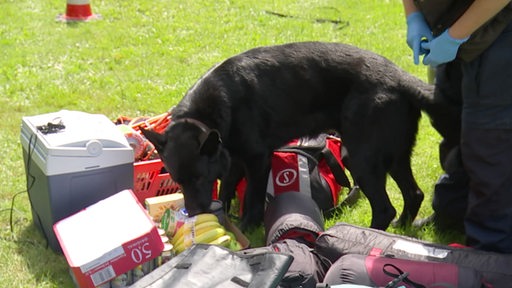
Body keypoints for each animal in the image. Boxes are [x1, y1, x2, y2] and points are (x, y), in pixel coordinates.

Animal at [141, 41, 460, 231]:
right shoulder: (233, 160)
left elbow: (252, 199)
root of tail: (401, 78)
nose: (194, 212)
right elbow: (227, 189)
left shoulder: (257, 160)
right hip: (395, 156)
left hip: (360, 159)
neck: (211, 111)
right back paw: (402, 228)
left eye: (198, 178)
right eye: (178, 180)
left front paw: (247, 229)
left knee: (384, 208)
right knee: (414, 194)